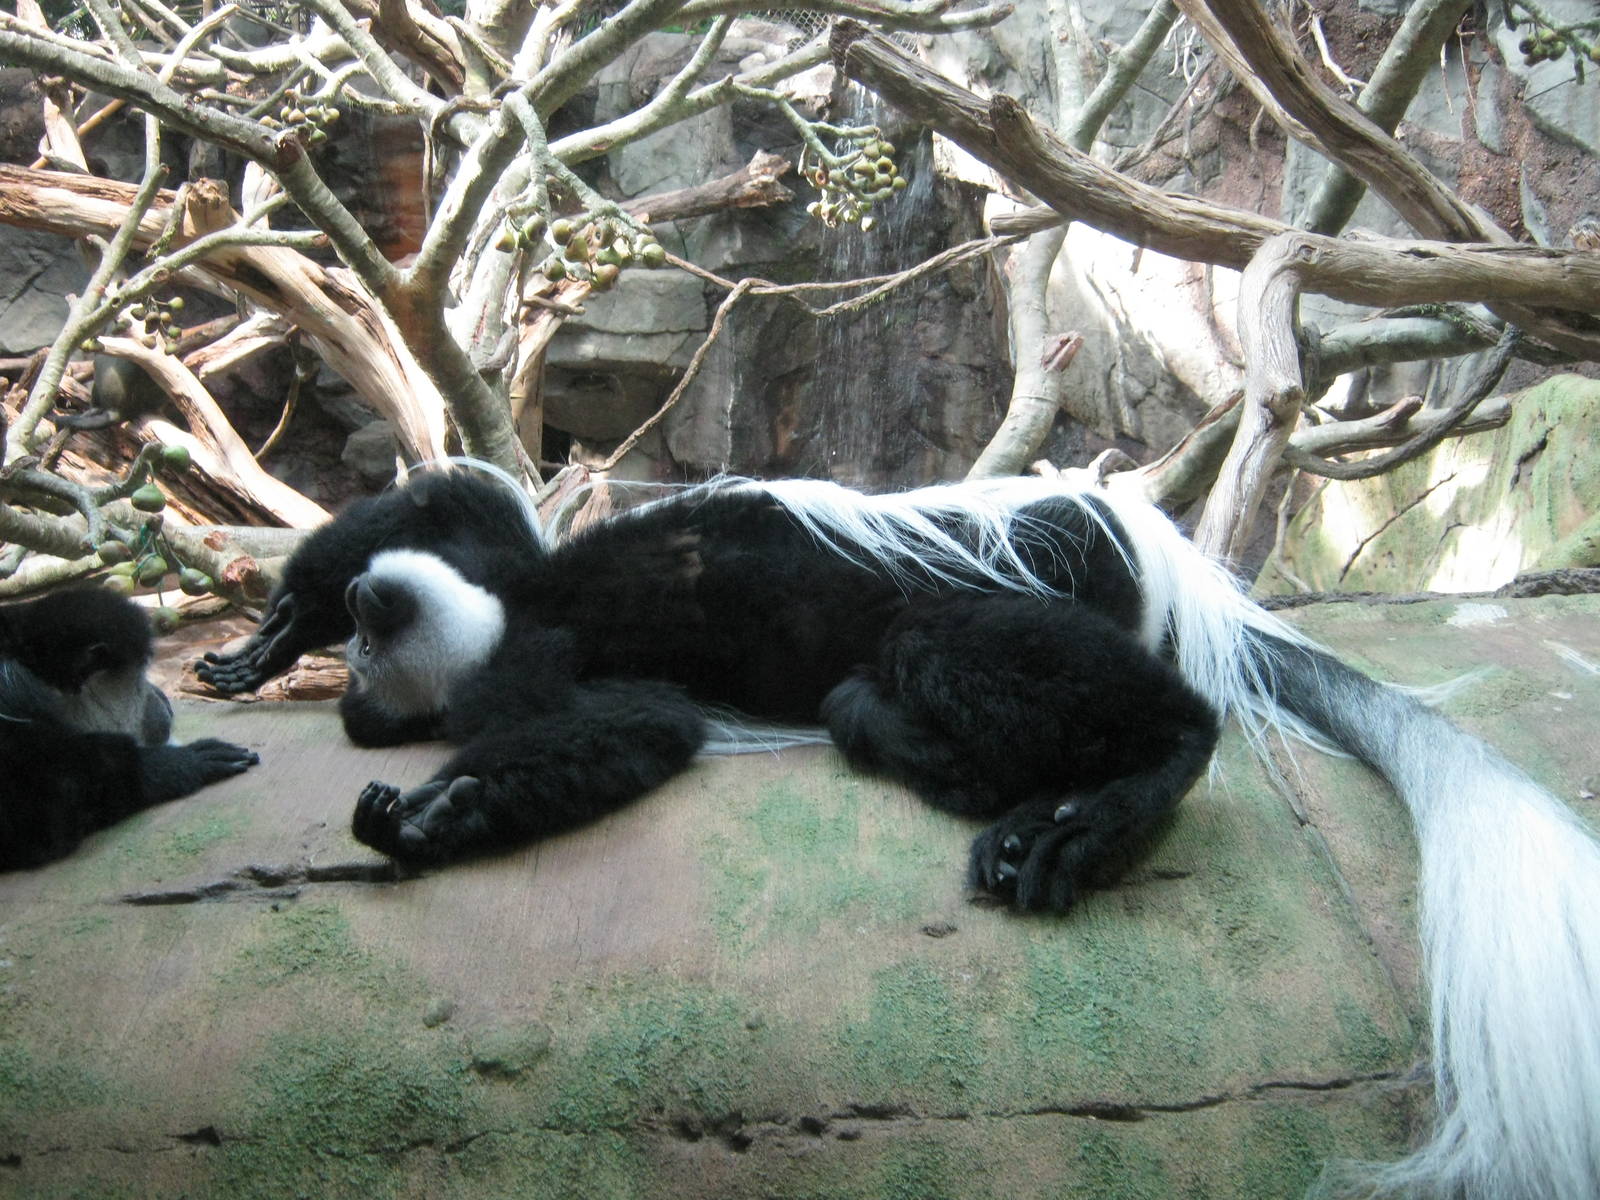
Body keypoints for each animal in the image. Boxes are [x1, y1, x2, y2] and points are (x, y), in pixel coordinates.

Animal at [198, 465, 1600, 1200]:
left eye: (374, 657)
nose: (357, 676)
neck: (510, 616)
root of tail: (1154, 558)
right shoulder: (522, 598)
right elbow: (605, 687)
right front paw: (281, 643)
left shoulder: (523, 630)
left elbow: (472, 530)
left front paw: (411, 794)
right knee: (878, 700)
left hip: (1018, 586)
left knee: (990, 657)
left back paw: (1113, 794)